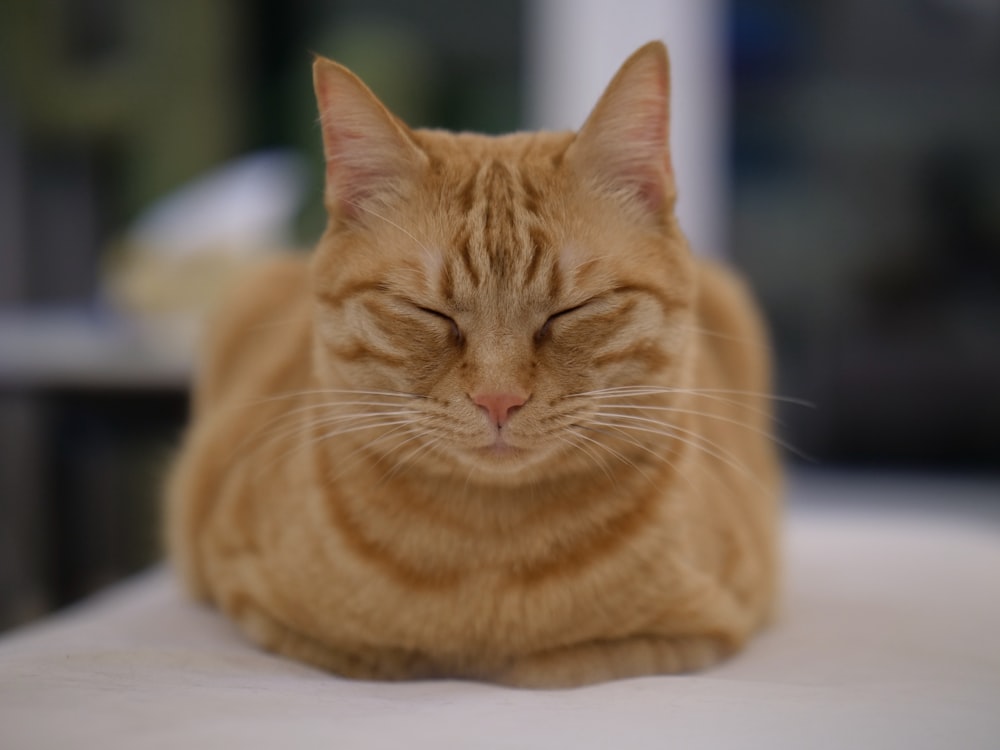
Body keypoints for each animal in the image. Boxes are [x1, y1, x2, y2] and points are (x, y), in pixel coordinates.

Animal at [166, 39, 780, 688]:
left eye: (570, 311)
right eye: (430, 313)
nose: (498, 399)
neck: (486, 547)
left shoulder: (701, 630)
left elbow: (548, 664)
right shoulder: (250, 597)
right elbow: (380, 657)